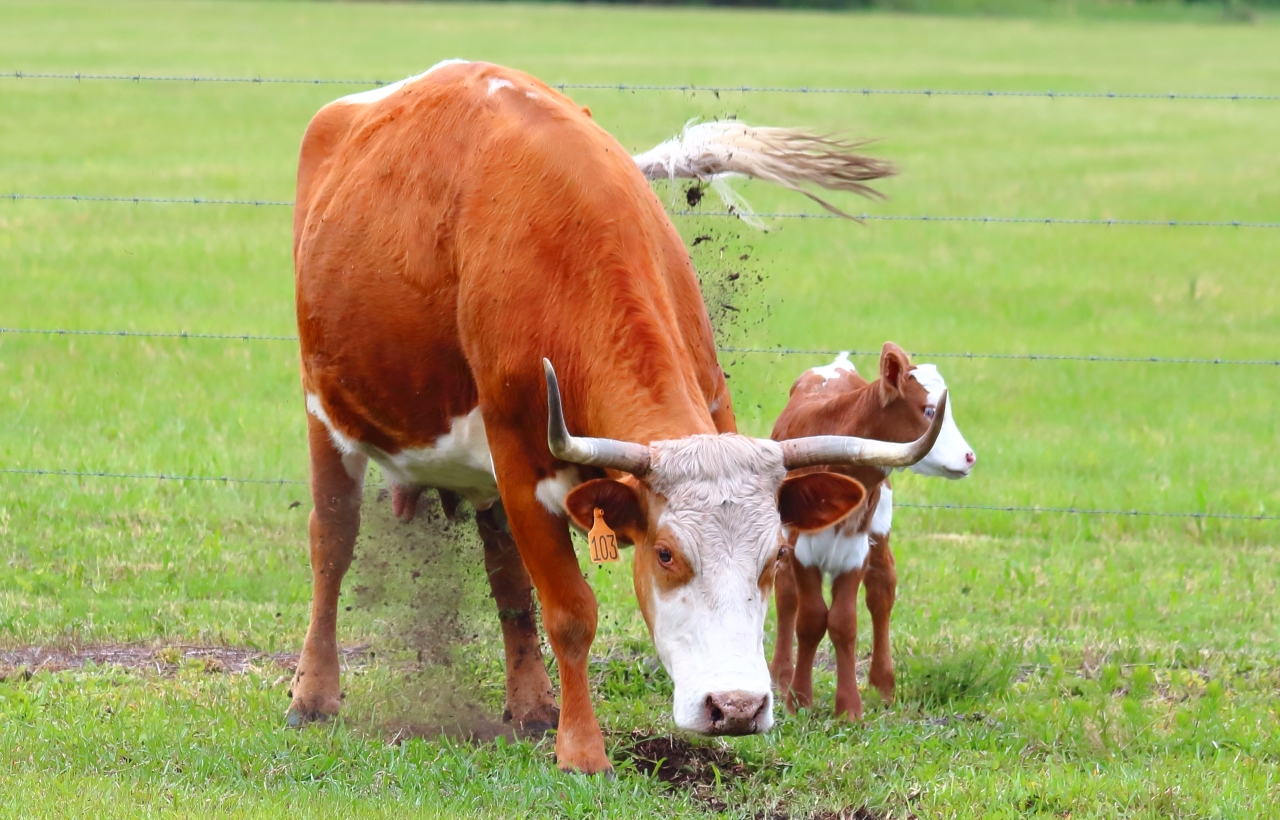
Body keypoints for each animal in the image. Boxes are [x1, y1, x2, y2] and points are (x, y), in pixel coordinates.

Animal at [289, 59, 942, 773]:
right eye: (665, 553)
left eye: (773, 556)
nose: (736, 707)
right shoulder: (521, 464)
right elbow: (570, 612)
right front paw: (581, 750)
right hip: (327, 416)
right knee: (331, 545)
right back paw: (312, 695)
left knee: (505, 579)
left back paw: (532, 704)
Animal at [769, 345, 975, 720]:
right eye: (929, 410)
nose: (970, 457)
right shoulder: (802, 549)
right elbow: (810, 619)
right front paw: (799, 700)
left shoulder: (855, 550)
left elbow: (843, 622)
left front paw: (849, 707)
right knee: (786, 593)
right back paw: (780, 675)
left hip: (879, 532)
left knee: (882, 590)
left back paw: (883, 684)